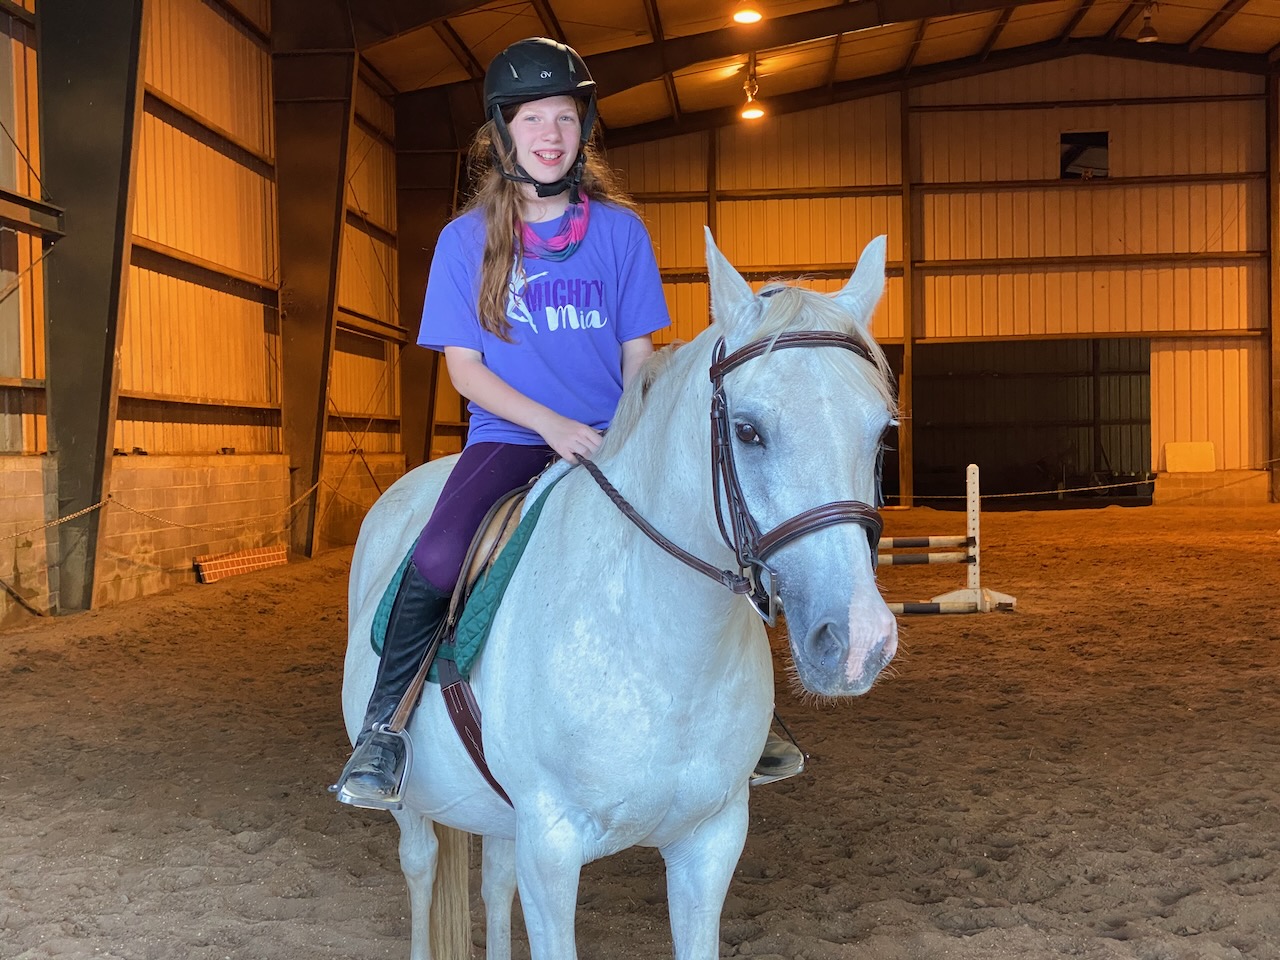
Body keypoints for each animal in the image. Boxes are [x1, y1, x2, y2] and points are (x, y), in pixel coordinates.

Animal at [341, 230, 900, 960]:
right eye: (748, 430)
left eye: (882, 432)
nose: (858, 641)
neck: (661, 649)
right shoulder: (551, 848)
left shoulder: (710, 842)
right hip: (418, 804)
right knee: (422, 868)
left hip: (500, 817)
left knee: (494, 881)